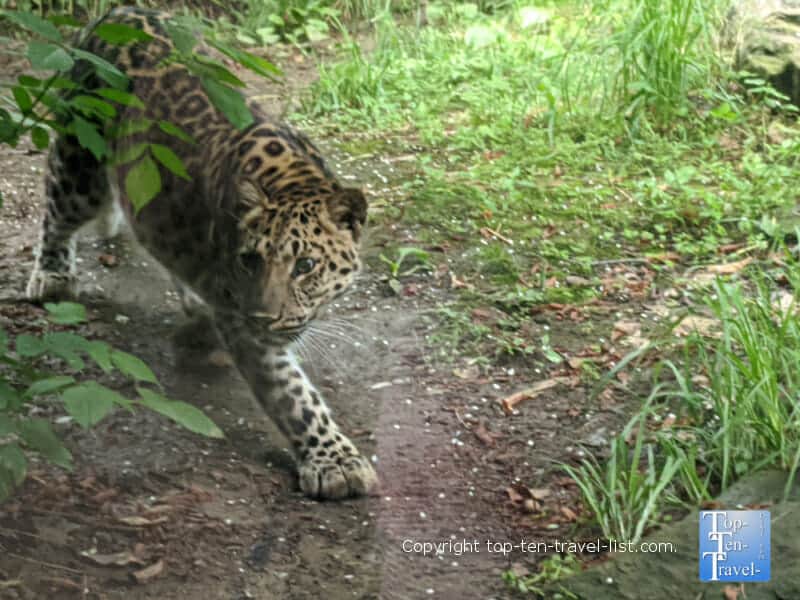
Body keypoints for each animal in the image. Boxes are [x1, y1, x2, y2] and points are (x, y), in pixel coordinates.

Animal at [25, 6, 378, 500]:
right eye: (250, 260)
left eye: (306, 266)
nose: (264, 318)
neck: (294, 179)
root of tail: (118, 10)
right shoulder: (246, 328)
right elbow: (294, 396)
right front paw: (336, 463)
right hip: (81, 161)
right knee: (56, 211)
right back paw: (53, 275)